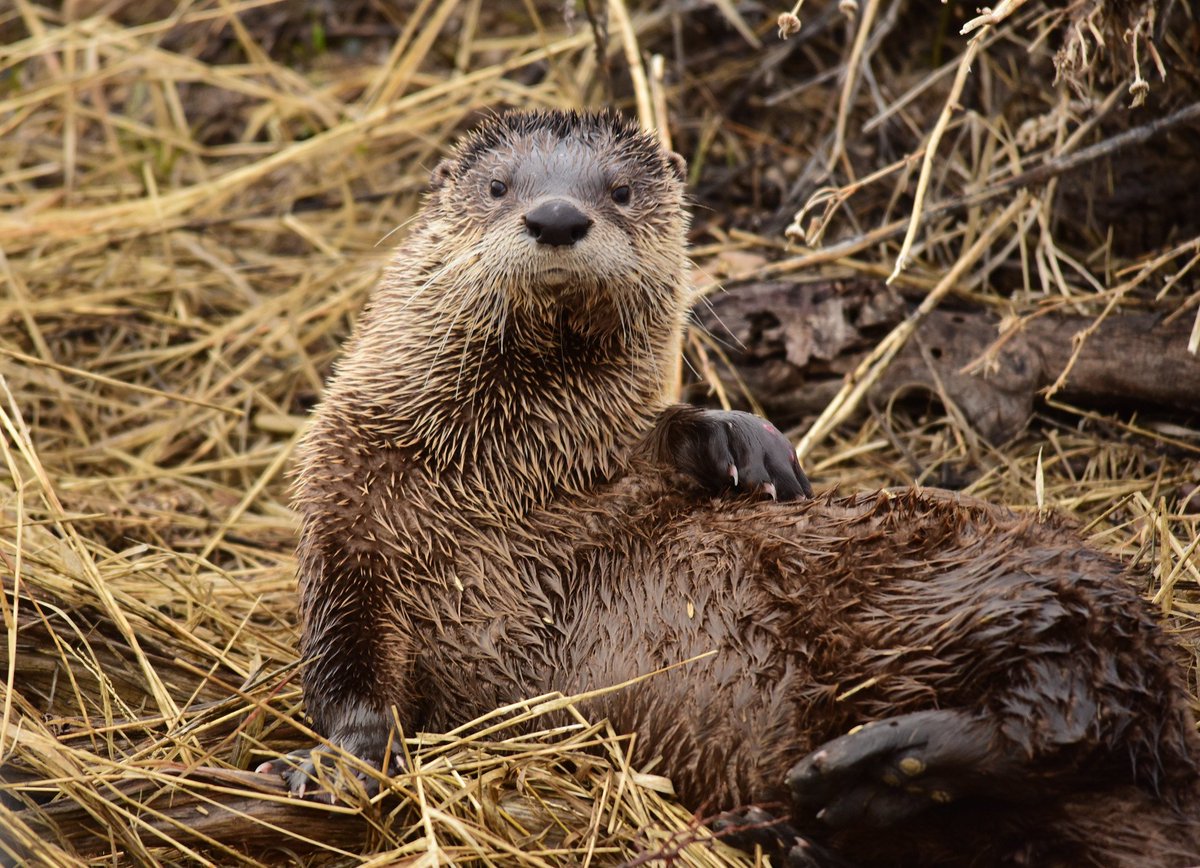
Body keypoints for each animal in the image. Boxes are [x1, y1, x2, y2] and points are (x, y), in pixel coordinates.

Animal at [262, 112, 1200, 864]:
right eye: (498, 186)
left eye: (619, 190)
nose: (558, 215)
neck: (499, 483)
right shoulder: (346, 526)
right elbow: (346, 680)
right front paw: (325, 765)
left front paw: (743, 441)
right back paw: (823, 809)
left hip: (985, 582)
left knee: (1070, 705)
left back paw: (865, 764)